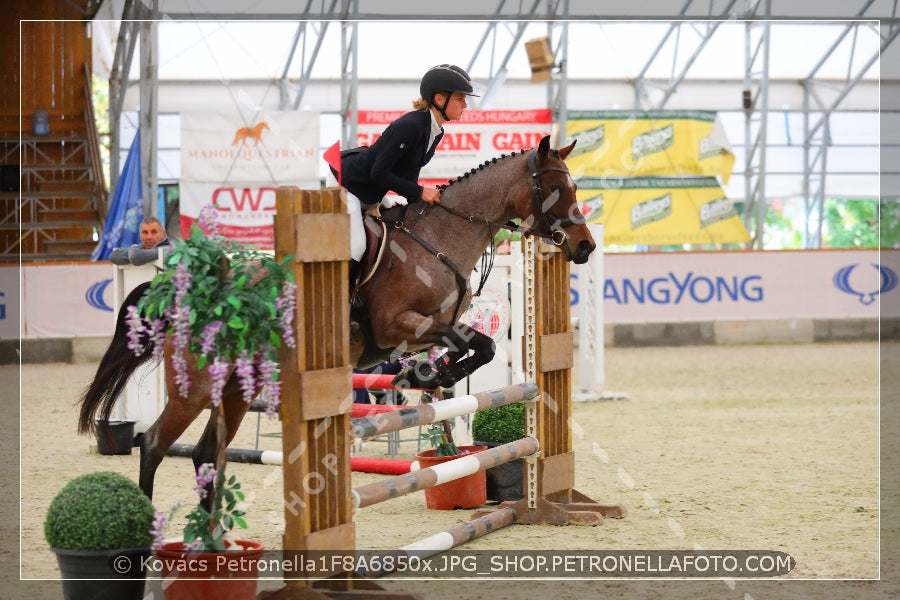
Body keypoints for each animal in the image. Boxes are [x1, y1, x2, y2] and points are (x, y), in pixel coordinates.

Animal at [77, 134, 596, 504]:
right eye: (555, 189)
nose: (585, 247)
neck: (439, 237)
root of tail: (191, 293)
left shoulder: (432, 327)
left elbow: (478, 347)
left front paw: (432, 373)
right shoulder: (397, 325)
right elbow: (466, 346)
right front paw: (431, 373)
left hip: (235, 387)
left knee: (206, 454)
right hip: (196, 388)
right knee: (153, 445)